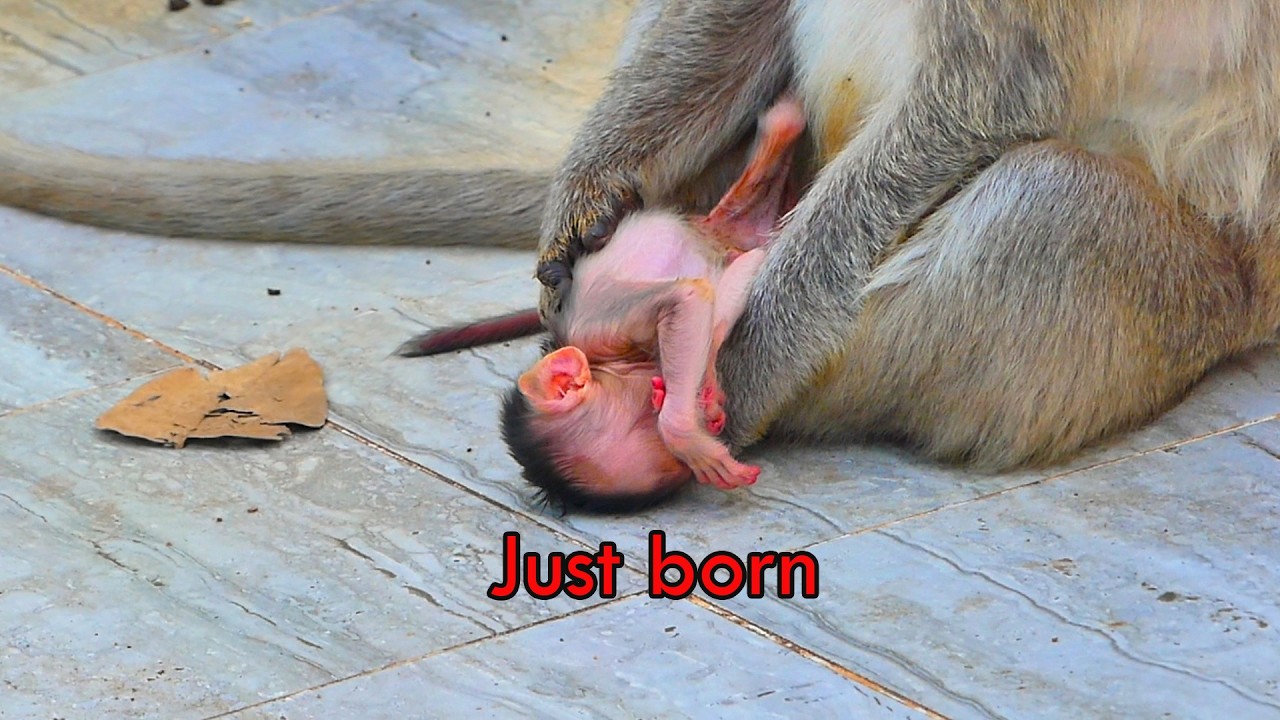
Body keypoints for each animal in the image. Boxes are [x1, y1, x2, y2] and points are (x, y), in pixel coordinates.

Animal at [502, 95, 806, 510]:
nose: (708, 419)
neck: (615, 362)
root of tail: (712, 228)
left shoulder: (601, 325)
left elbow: (686, 297)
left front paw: (684, 427)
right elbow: (716, 287)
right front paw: (704, 397)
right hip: (741, 227)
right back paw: (784, 126)